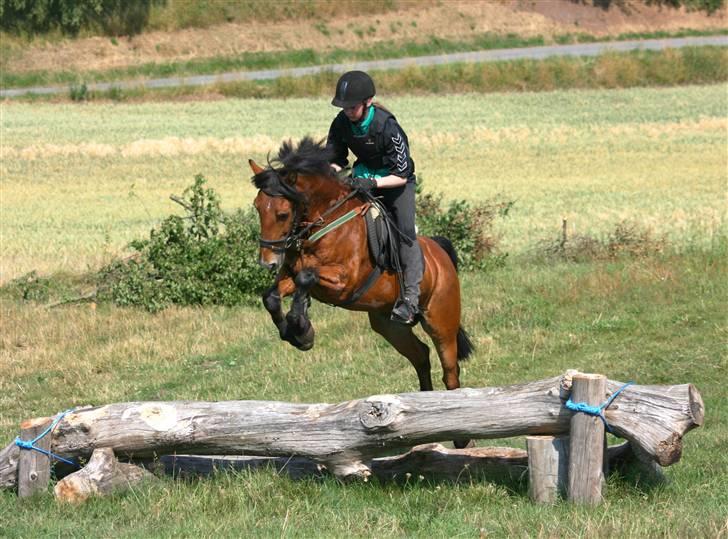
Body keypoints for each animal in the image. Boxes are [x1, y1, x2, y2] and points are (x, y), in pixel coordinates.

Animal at [250, 138, 474, 448]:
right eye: (257, 208)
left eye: (282, 214)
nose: (267, 262)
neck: (325, 220)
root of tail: (441, 255)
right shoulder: (292, 276)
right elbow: (273, 296)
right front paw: (298, 333)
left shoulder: (345, 281)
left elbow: (307, 278)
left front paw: (301, 325)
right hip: (390, 325)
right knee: (420, 355)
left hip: (441, 322)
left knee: (450, 370)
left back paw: (461, 437)